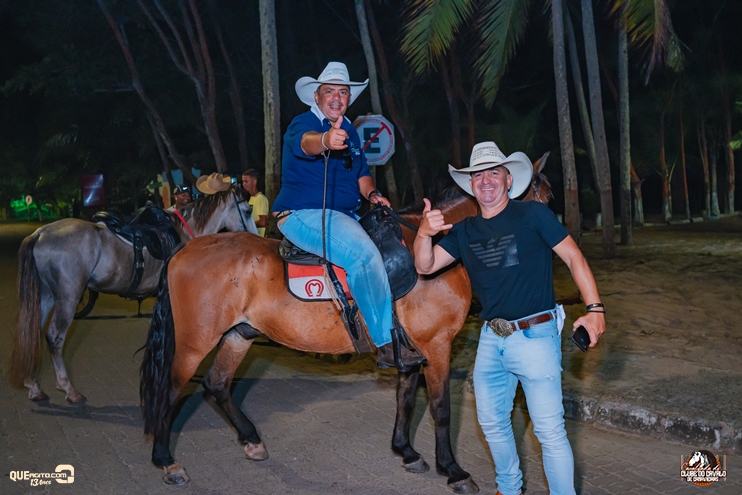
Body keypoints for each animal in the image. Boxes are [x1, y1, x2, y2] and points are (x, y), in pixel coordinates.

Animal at [9, 185, 257, 403]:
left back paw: (34, 387)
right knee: (54, 338)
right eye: (247, 211)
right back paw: (69, 390)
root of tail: (40, 233)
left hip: (46, 296)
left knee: (33, 331)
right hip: (67, 298)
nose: (256, 241)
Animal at [139, 153, 553, 493]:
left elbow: (405, 399)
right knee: (172, 389)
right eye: (546, 199)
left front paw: (406, 451)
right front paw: (452, 470)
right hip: (195, 341)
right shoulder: (436, 345)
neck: (435, 249)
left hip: (239, 335)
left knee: (217, 384)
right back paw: (166, 461)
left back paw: (251, 440)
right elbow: (440, 408)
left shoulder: (410, 349)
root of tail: (183, 252)